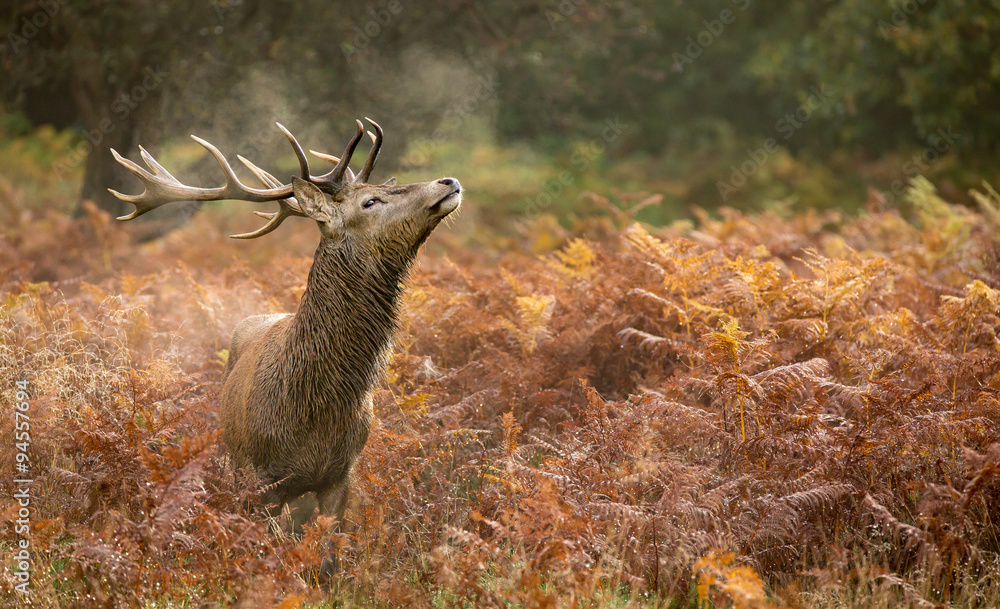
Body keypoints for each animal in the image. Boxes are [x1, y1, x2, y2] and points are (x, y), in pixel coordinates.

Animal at [109, 119, 461, 575]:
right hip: (231, 461)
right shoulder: (262, 480)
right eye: (370, 201)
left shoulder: (340, 475)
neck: (313, 411)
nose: (448, 181)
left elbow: (327, 559)